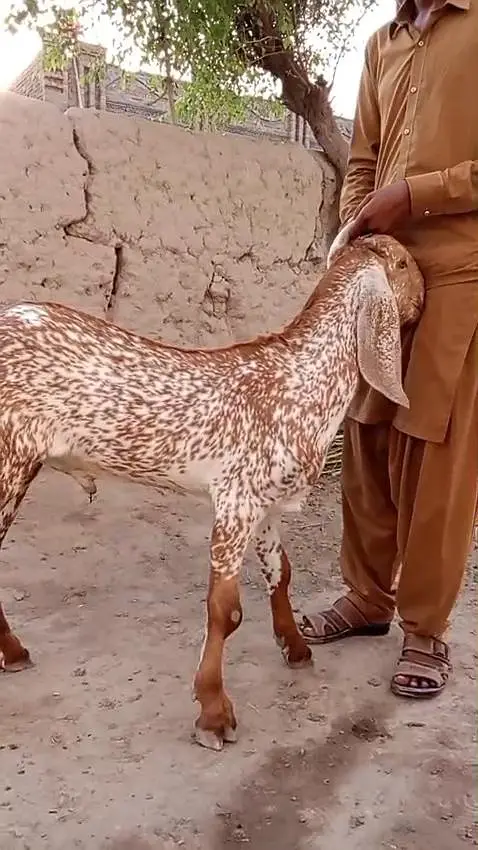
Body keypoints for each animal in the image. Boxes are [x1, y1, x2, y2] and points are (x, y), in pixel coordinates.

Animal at [0, 234, 424, 751]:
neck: (300, 381)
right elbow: (226, 611)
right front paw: (213, 713)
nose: (424, 298)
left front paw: (296, 648)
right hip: (10, 458)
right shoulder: (235, 501)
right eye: (404, 263)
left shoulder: (266, 504)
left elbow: (281, 574)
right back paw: (14, 652)